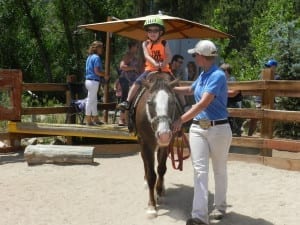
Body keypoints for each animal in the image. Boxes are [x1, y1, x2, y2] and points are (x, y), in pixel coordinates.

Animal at [134, 71, 179, 216]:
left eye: (172, 102)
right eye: (149, 102)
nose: (164, 134)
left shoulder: (166, 145)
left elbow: (161, 169)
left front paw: (159, 192)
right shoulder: (146, 144)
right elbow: (151, 175)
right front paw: (151, 206)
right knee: (145, 162)